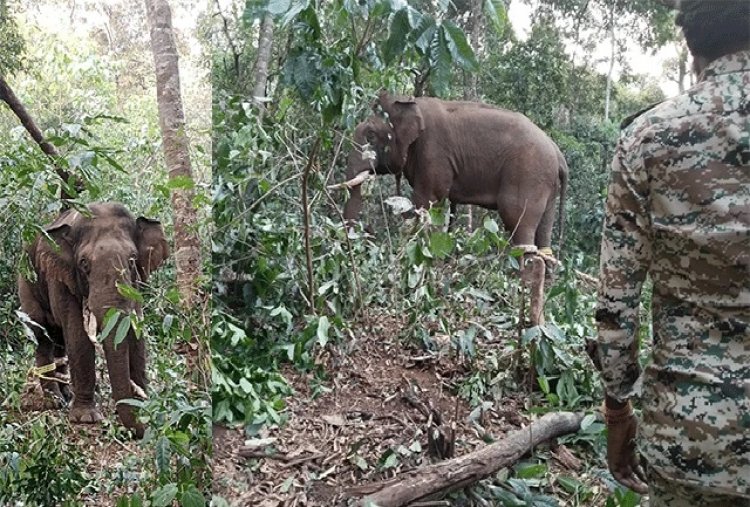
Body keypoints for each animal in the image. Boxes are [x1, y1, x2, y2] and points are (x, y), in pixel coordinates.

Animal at [17, 202, 170, 436]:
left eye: (132, 259)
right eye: (83, 263)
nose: (144, 426)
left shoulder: (134, 286)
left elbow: (136, 333)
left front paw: (143, 406)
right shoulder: (61, 278)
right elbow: (78, 335)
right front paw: (86, 418)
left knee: (59, 340)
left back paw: (66, 394)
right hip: (26, 281)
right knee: (42, 335)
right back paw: (54, 401)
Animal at [344, 92, 568, 258]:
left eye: (371, 136)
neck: (409, 102)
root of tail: (558, 153)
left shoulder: (434, 152)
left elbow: (427, 200)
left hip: (529, 173)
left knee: (518, 222)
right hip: (547, 186)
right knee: (544, 234)